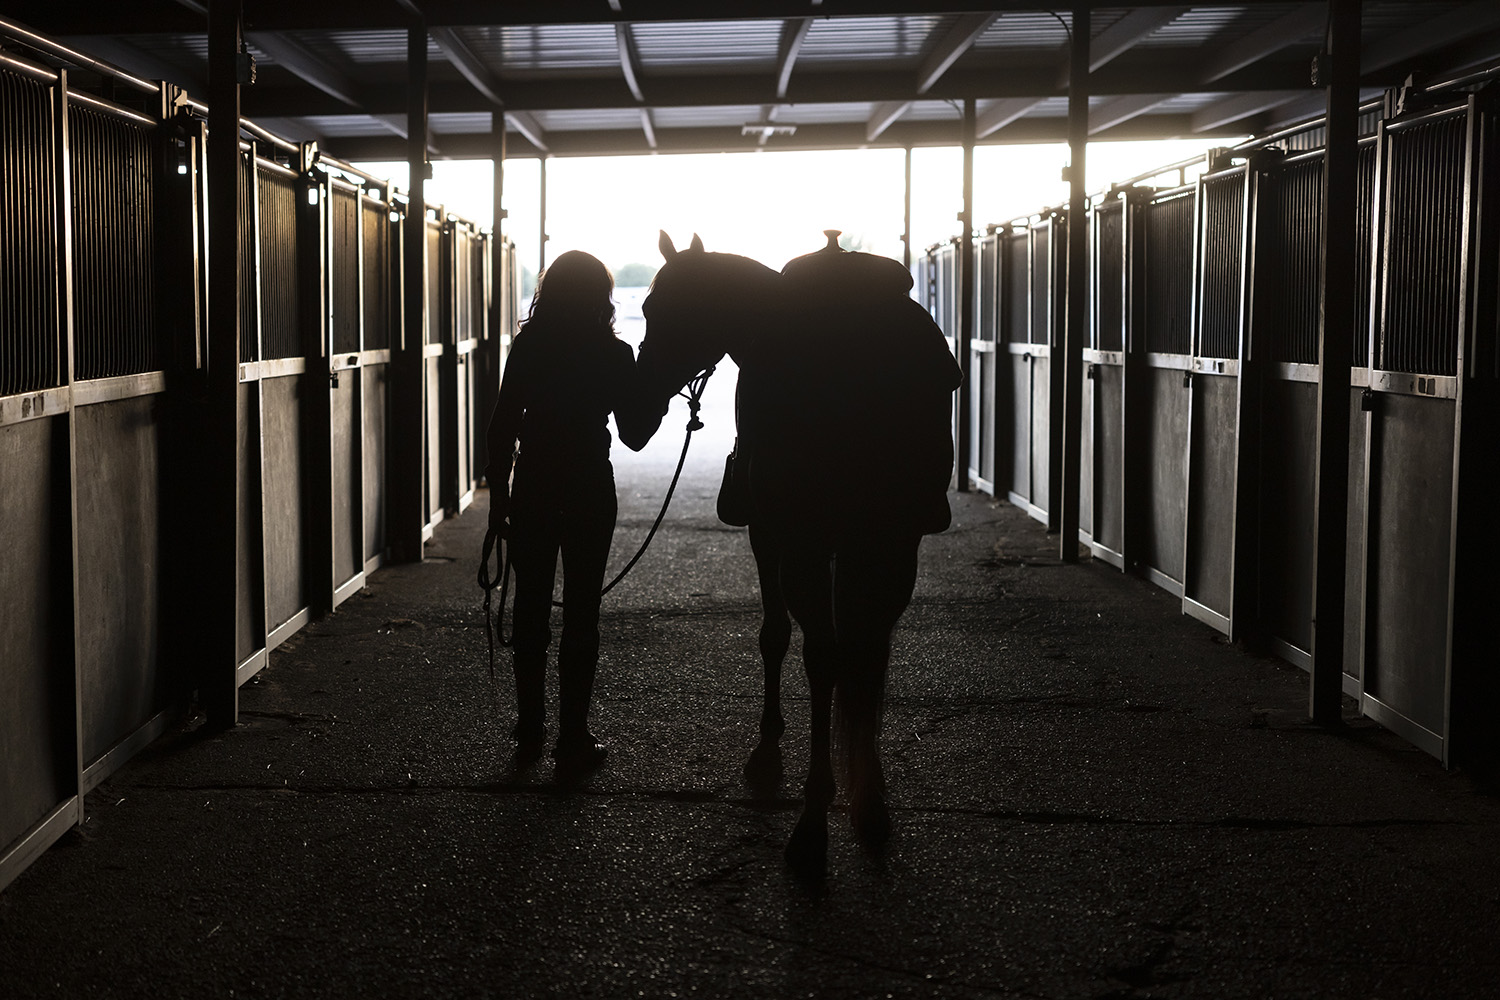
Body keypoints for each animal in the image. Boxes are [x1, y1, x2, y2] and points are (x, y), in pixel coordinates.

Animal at [621, 230, 960, 869]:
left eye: (656, 308)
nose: (632, 415)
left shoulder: (773, 532)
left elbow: (780, 637)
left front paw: (778, 760)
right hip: (884, 544)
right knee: (864, 650)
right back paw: (866, 796)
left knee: (836, 653)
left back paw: (823, 812)